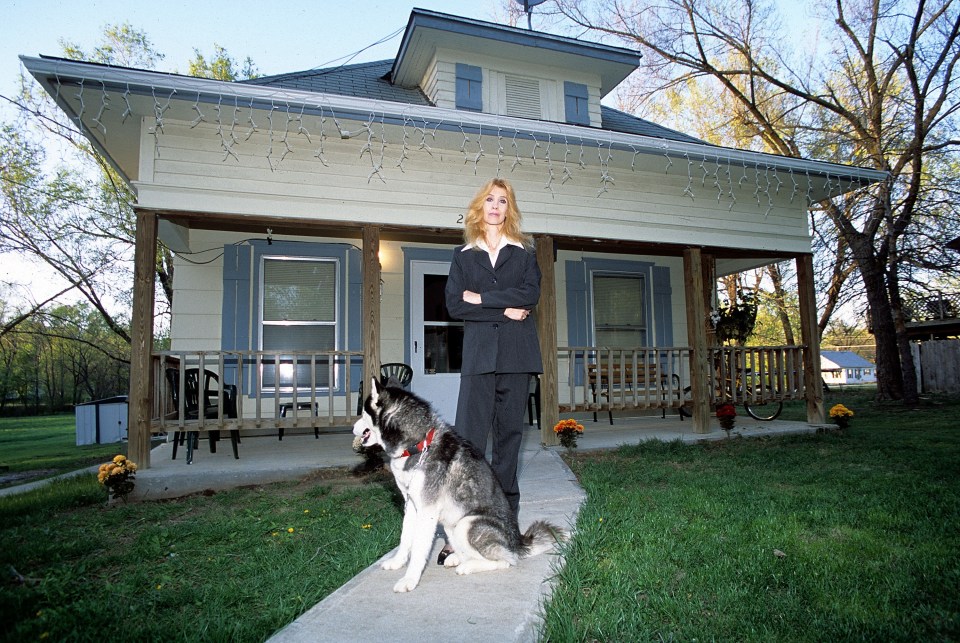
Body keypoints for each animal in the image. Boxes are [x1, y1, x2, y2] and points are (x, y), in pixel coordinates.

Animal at [352, 378, 564, 592]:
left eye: (363, 413)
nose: (352, 427)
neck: (418, 445)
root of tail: (517, 542)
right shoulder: (411, 504)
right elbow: (405, 538)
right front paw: (397, 562)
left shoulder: (427, 510)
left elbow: (419, 548)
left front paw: (409, 580)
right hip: (451, 524)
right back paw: (456, 557)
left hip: (466, 523)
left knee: (506, 560)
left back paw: (468, 566)